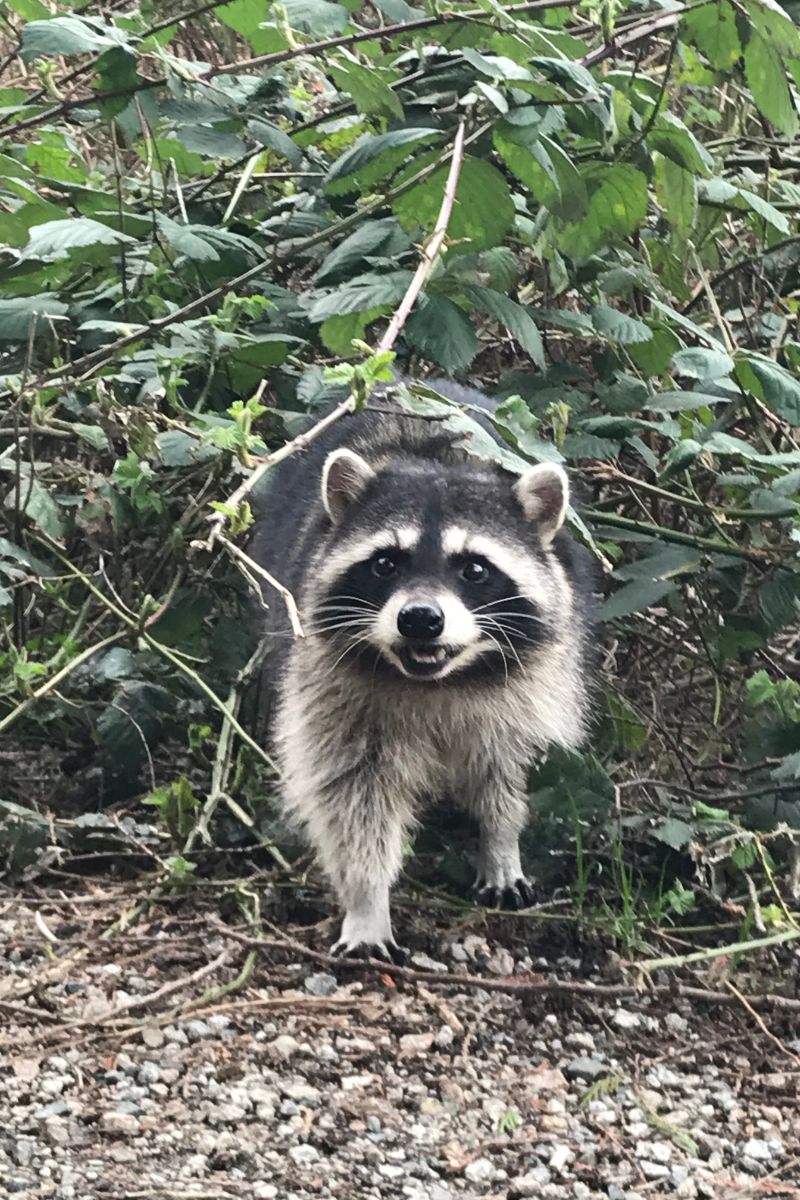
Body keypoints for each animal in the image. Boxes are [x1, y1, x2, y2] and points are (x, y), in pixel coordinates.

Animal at [250, 379, 594, 960]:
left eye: (474, 569)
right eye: (385, 563)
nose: (420, 620)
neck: (438, 680)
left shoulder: (529, 683)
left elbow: (503, 769)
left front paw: (500, 840)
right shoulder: (329, 684)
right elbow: (352, 794)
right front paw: (367, 900)